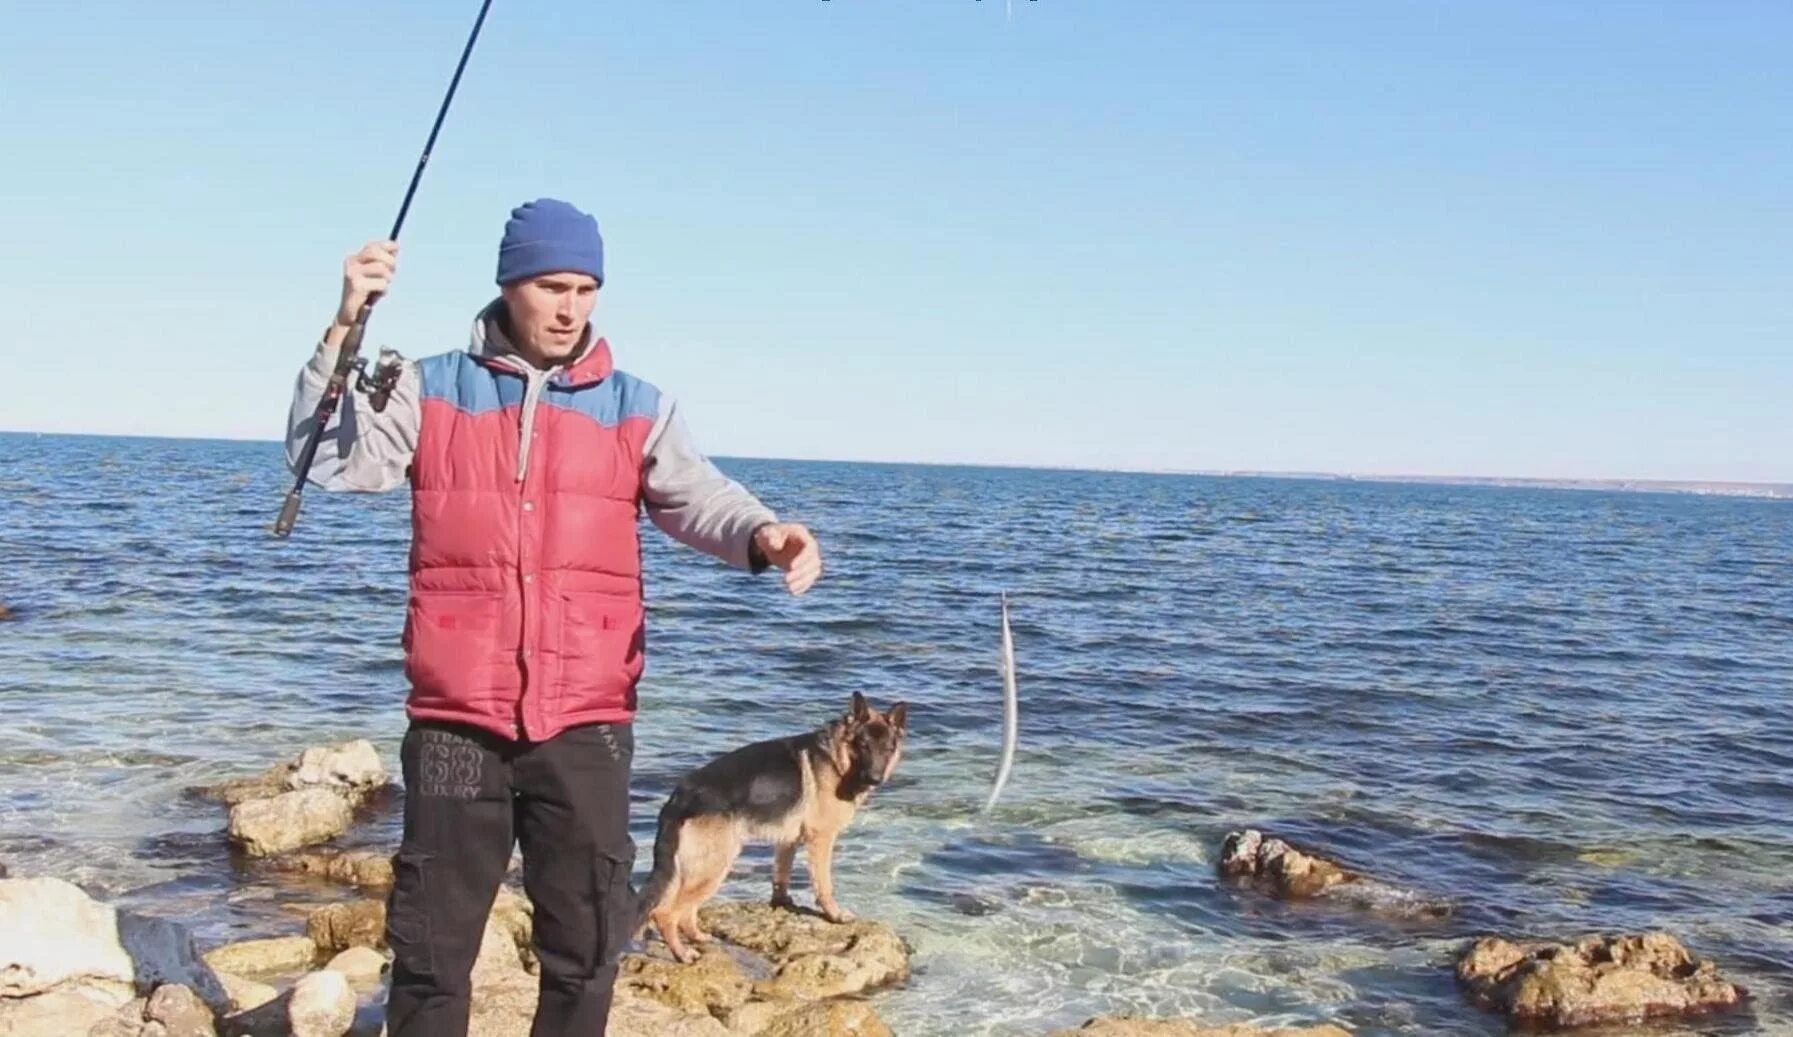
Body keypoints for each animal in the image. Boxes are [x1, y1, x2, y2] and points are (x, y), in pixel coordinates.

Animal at [634, 688, 910, 954]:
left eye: (888, 749)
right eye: (863, 745)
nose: (874, 779)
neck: (836, 756)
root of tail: (679, 796)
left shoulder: (787, 840)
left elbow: (781, 874)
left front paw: (782, 903)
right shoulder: (821, 839)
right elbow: (824, 884)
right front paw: (834, 915)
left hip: (695, 869)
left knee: (680, 911)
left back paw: (698, 938)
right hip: (713, 867)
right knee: (664, 913)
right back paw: (682, 954)